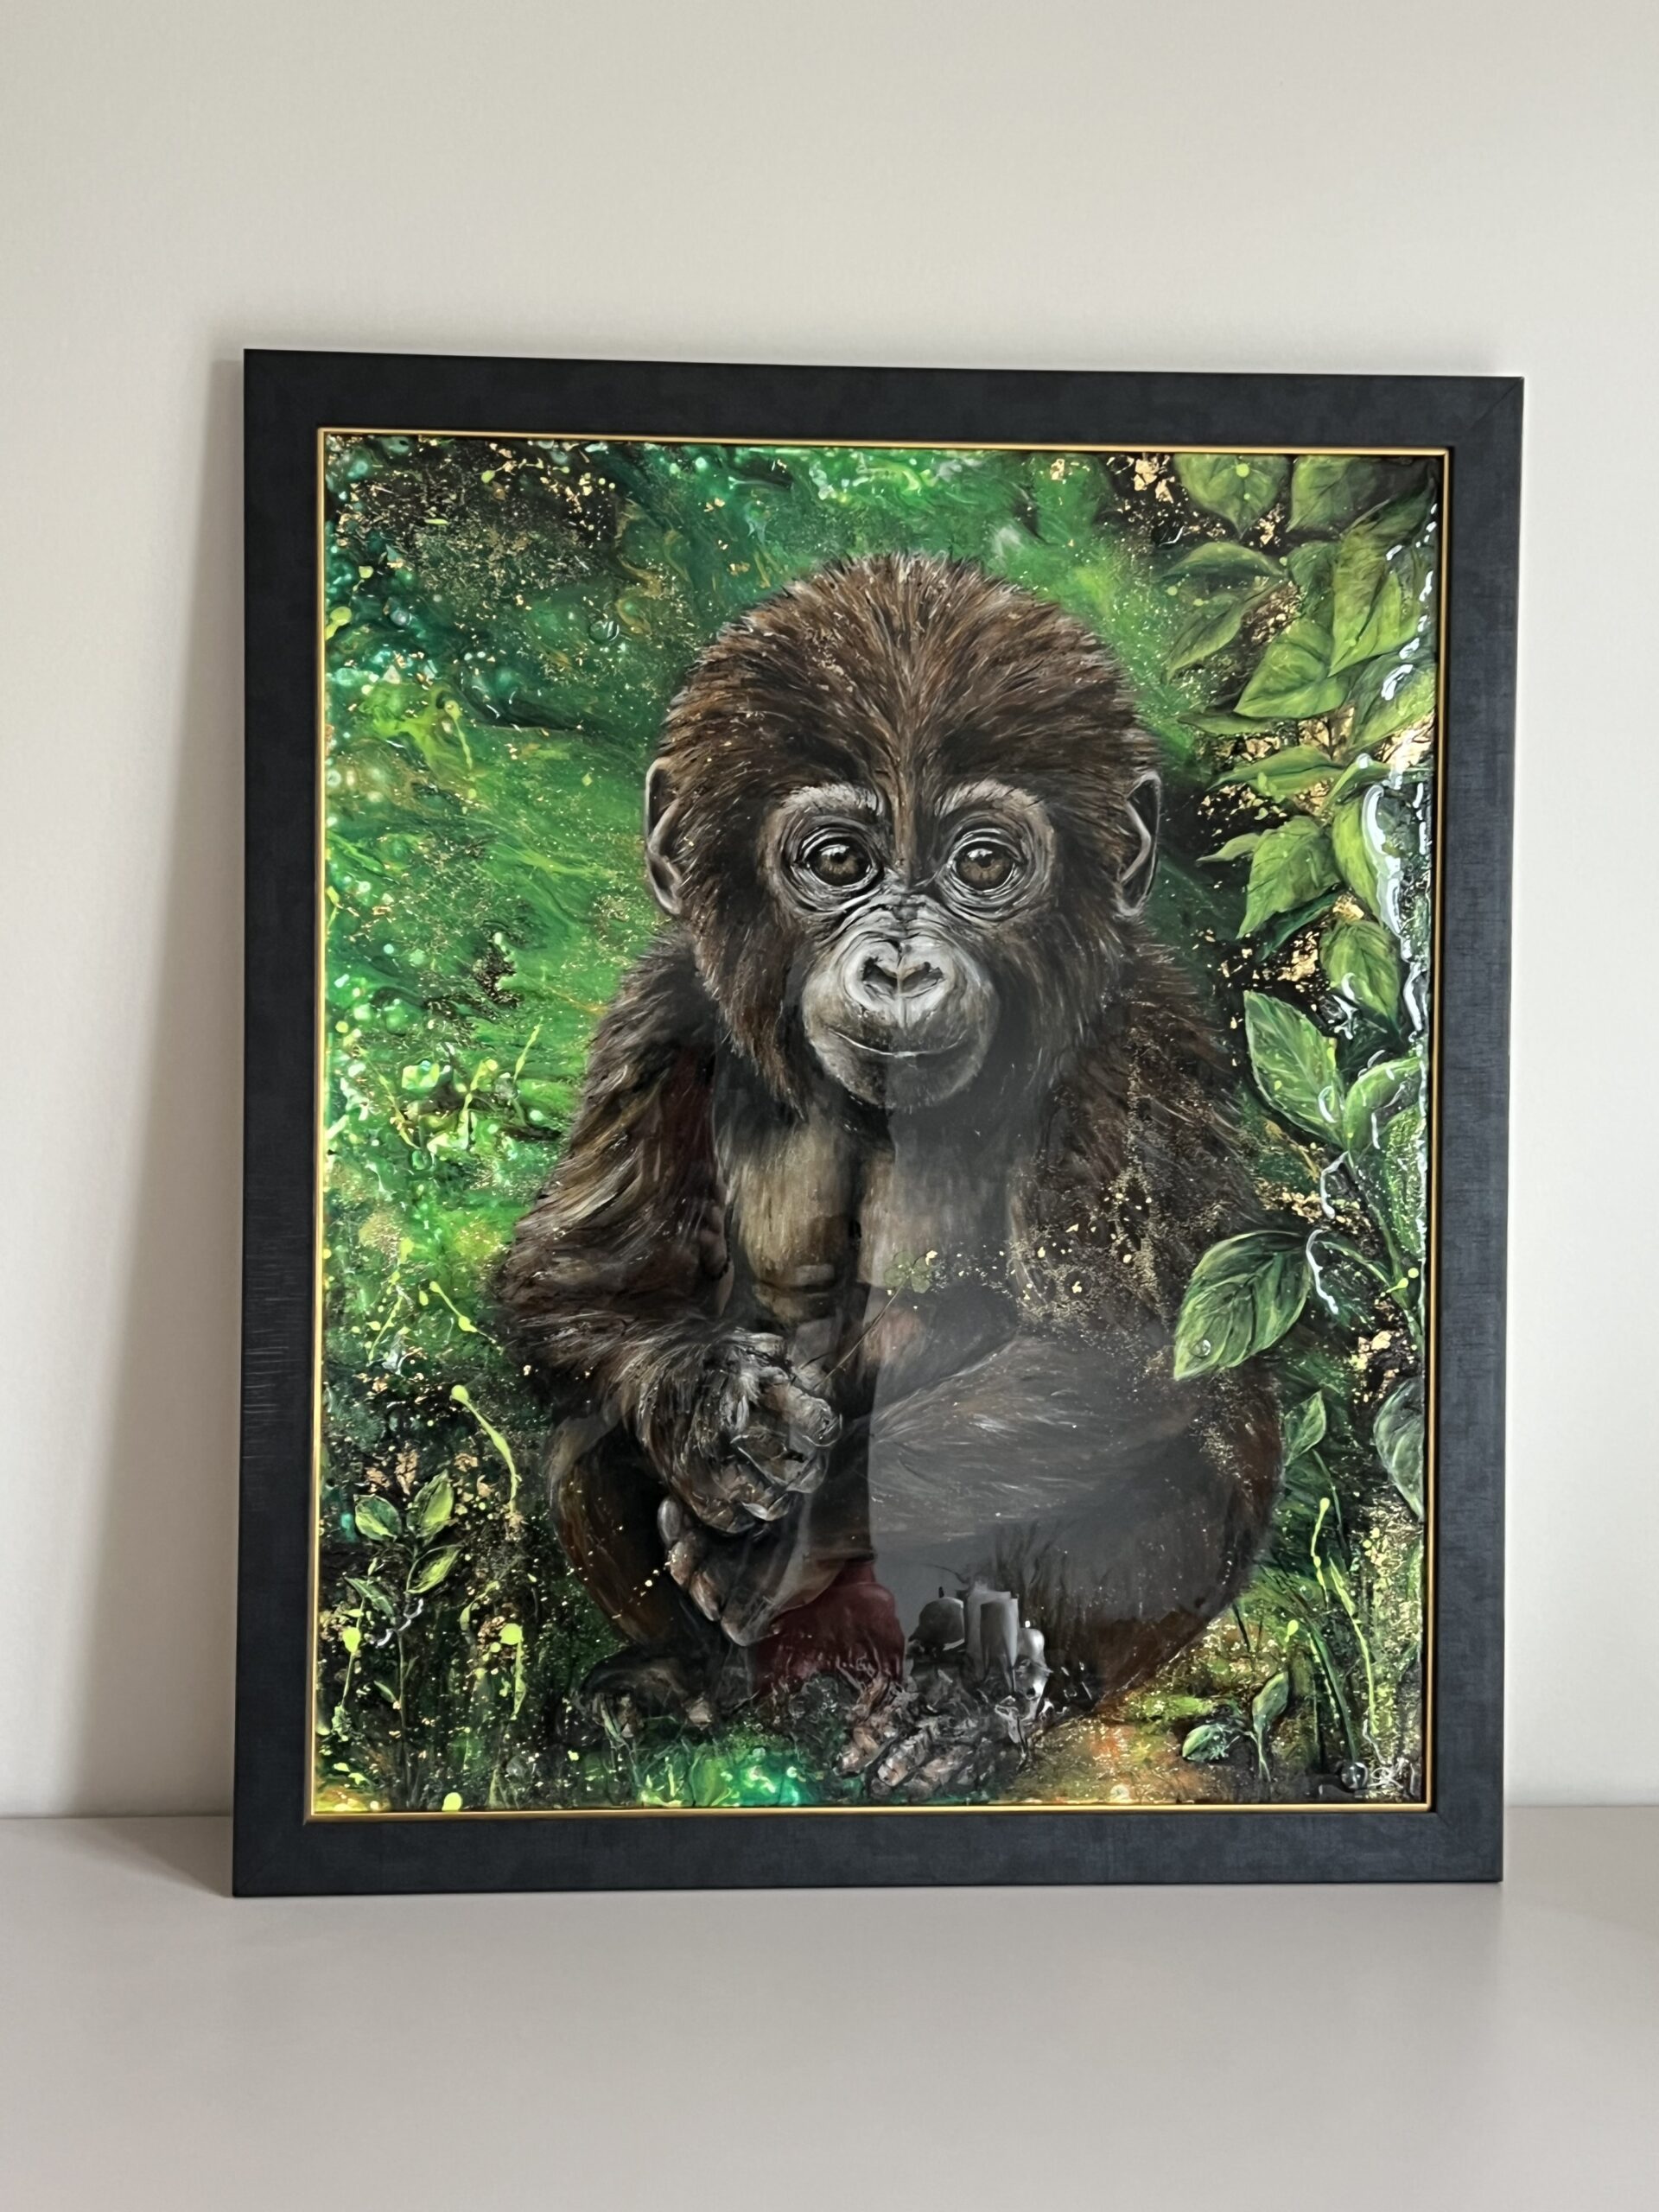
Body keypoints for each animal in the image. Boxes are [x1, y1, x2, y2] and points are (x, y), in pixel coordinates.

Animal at [497, 553, 1280, 1800]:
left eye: (983, 865)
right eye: (838, 863)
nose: (903, 962)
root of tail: (831, 1681)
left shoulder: (1135, 1039)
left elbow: (1134, 1346)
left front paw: (789, 1527)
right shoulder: (656, 1014)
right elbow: (578, 1283)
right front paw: (706, 1412)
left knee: (1184, 1453)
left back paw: (976, 1705)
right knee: (588, 1424)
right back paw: (688, 1679)